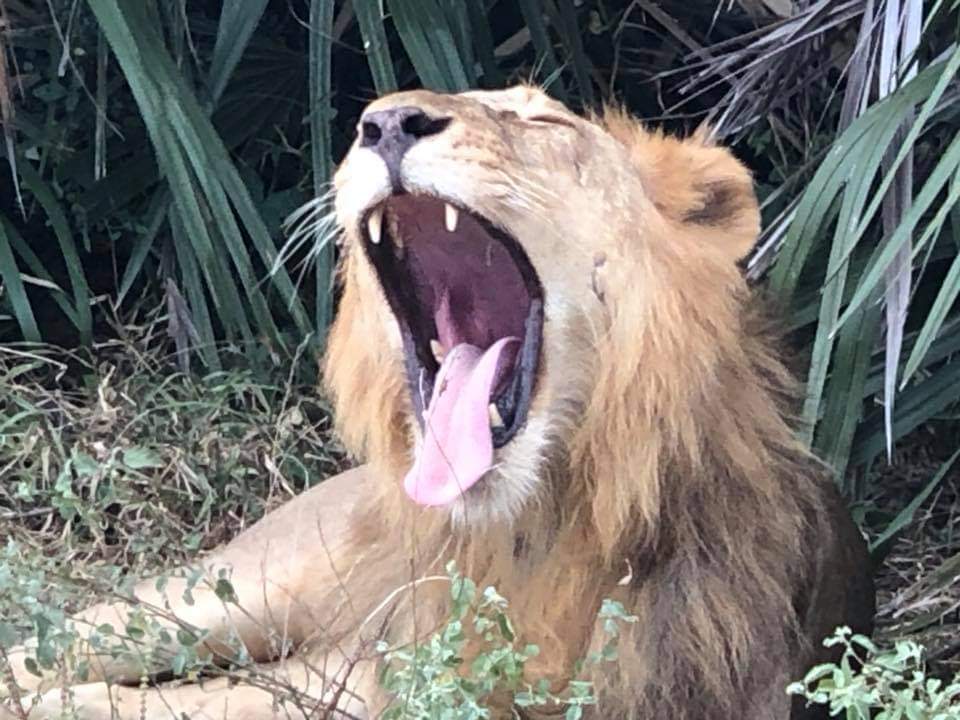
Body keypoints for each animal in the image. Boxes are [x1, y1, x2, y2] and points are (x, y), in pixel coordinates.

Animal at [3, 85, 875, 720]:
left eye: (541, 119)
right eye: (375, 121)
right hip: (227, 594)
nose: (386, 121)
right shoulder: (365, 671)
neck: (533, 537)